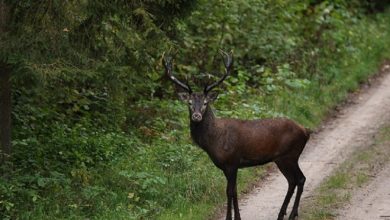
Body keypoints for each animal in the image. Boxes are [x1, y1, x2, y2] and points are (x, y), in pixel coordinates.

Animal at [163, 50, 312, 220]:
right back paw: (283, 214)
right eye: (189, 103)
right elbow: (234, 191)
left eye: (206, 102)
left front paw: (230, 217)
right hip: (284, 158)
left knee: (299, 179)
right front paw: (237, 217)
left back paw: (291, 214)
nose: (196, 116)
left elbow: (229, 191)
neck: (214, 142)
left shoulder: (232, 161)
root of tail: (305, 131)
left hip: (289, 155)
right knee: (293, 181)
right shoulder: (226, 166)